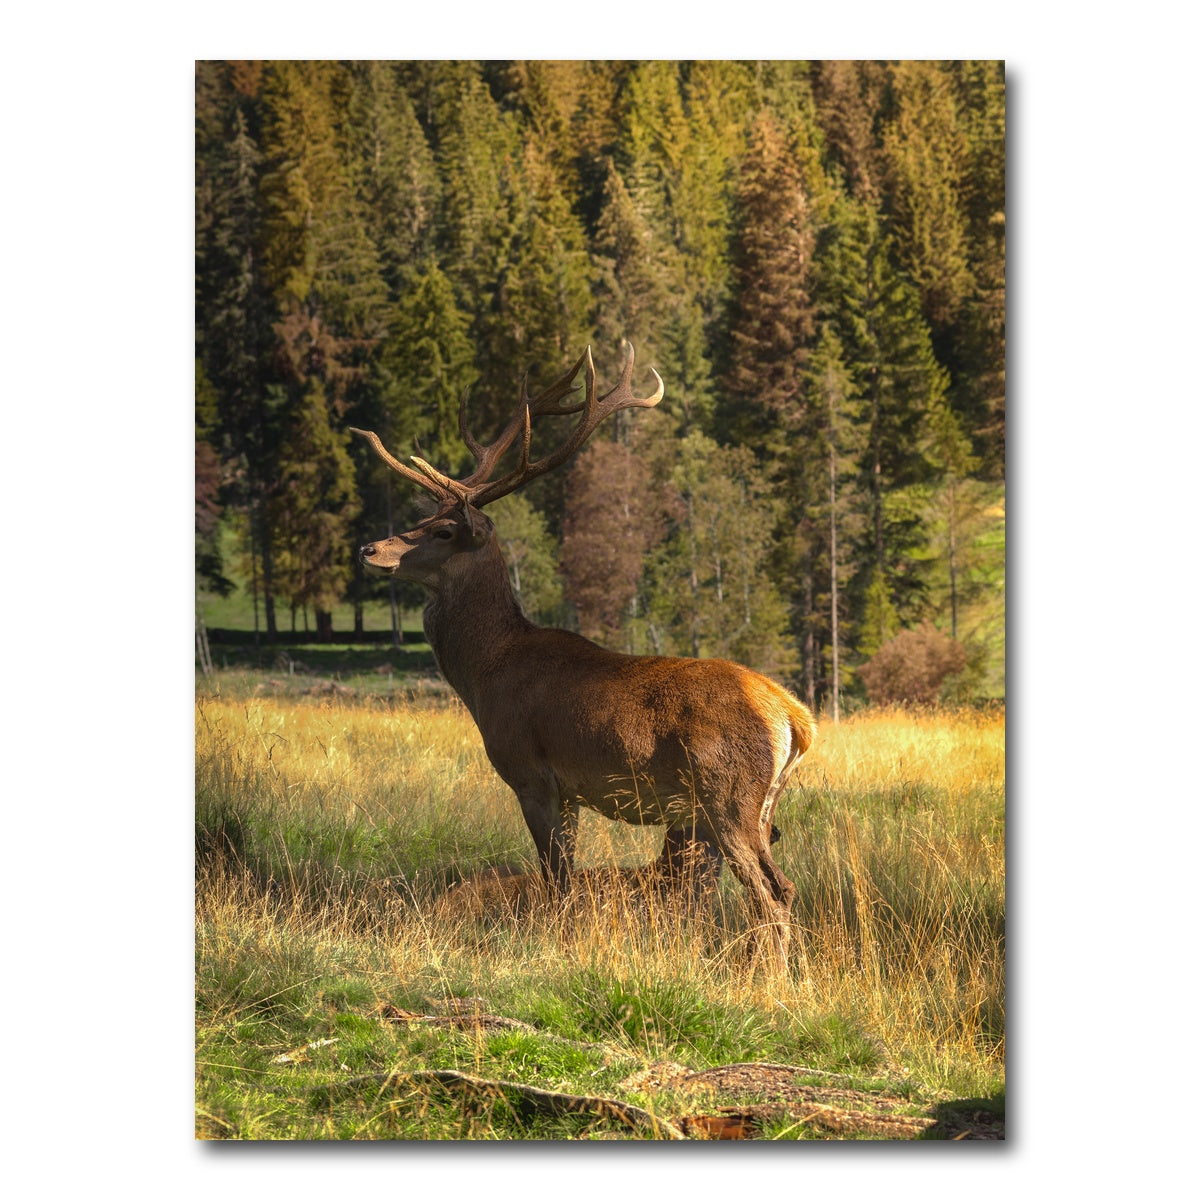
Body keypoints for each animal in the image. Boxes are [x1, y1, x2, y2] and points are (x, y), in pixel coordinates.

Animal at [350, 343, 816, 971]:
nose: (369, 548)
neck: (485, 674)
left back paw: (772, 981)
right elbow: (563, 879)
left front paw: (555, 949)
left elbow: (559, 880)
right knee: (781, 886)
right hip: (759, 805)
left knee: (771, 892)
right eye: (422, 519)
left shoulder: (531, 772)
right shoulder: (569, 791)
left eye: (444, 530)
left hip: (727, 794)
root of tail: (793, 716)